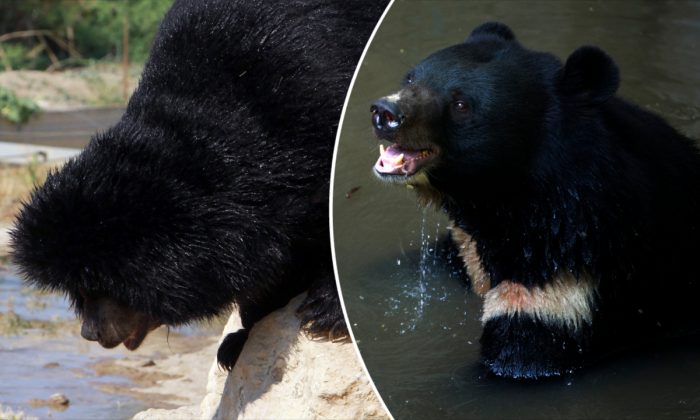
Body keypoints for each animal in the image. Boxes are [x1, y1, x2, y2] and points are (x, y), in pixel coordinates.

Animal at [372, 21, 700, 378]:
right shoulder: (469, 242)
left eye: (461, 105)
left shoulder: (567, 280)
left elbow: (522, 355)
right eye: (410, 79)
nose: (385, 113)